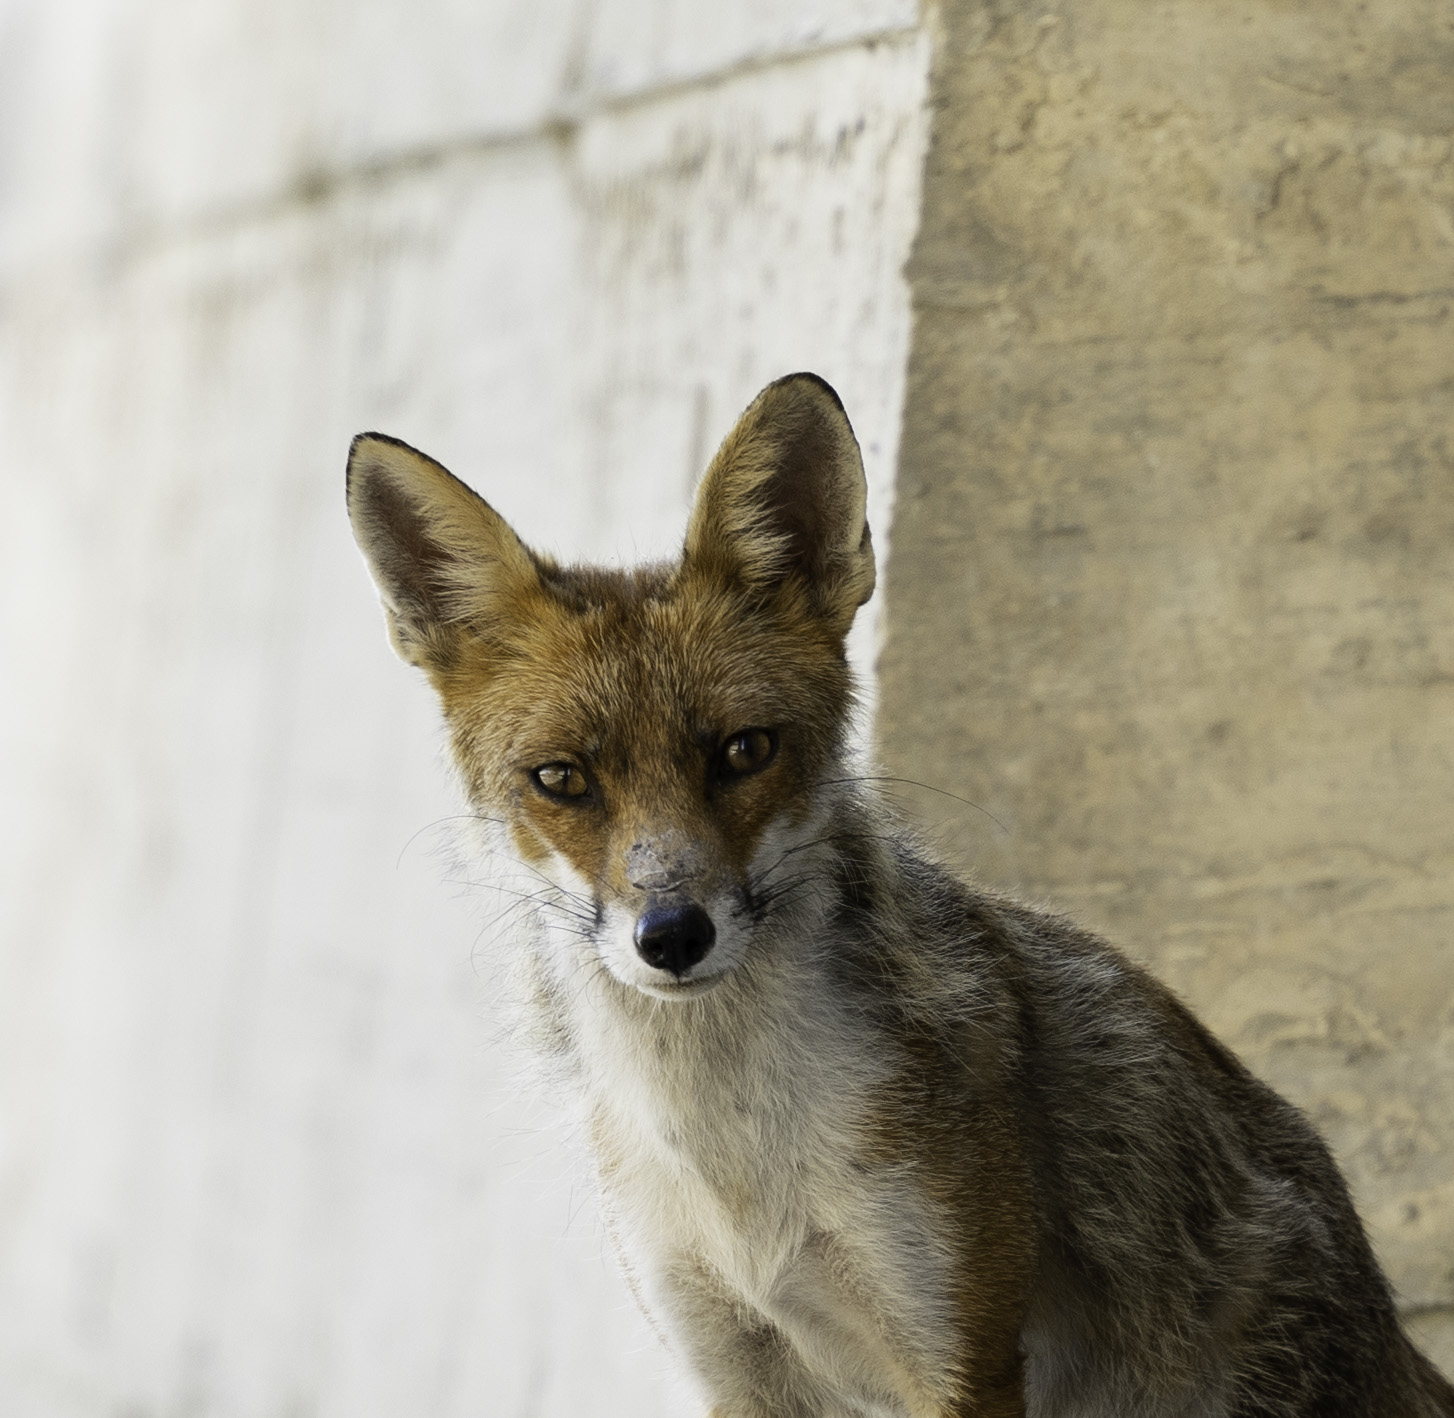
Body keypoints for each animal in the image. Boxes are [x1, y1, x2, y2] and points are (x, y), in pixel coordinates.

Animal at [346, 373, 1454, 1418]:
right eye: (561, 779)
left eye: (744, 751)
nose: (672, 934)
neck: (736, 1168)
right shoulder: (734, 1365)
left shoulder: (958, 1350)